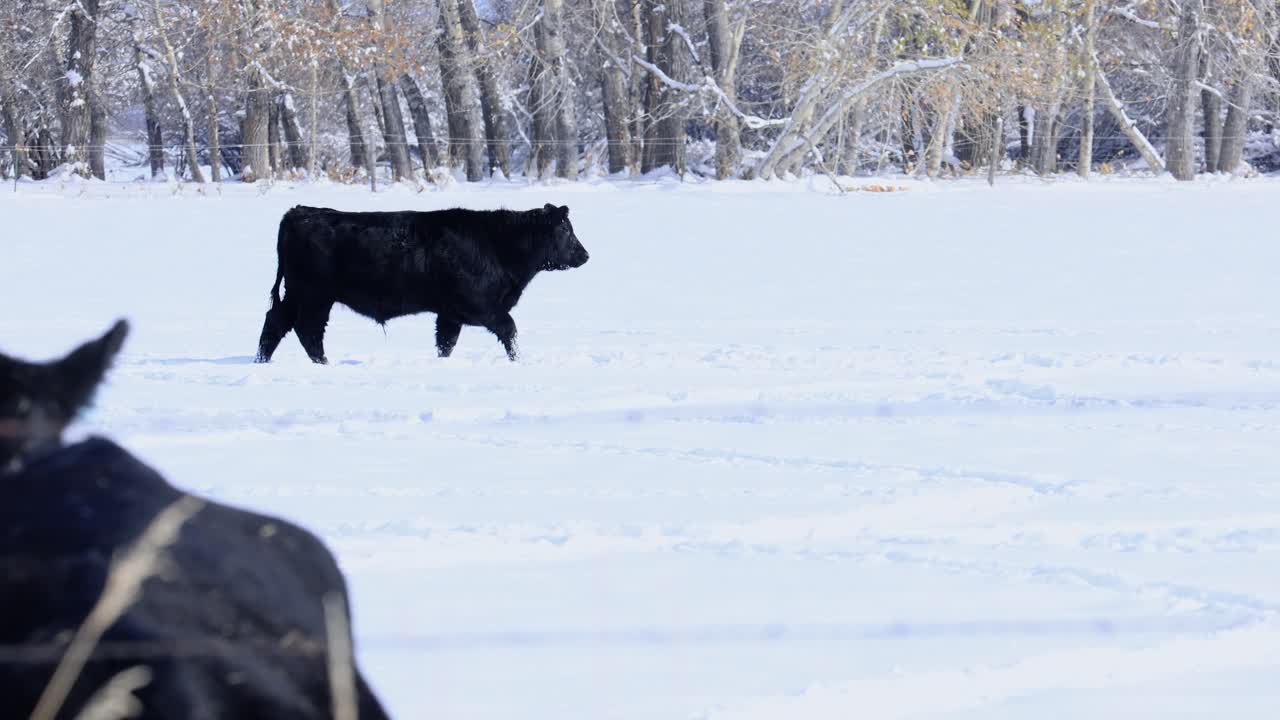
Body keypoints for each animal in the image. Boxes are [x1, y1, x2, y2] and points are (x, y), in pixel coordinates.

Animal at [254, 203, 590, 364]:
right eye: (565, 230)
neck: (498, 243)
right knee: (307, 330)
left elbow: (446, 343)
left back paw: (262, 362)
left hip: (298, 294)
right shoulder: (481, 307)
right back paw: (324, 364)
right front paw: (519, 361)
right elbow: (509, 329)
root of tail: (299, 212)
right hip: (314, 296)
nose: (585, 255)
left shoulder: (450, 314)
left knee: (276, 323)